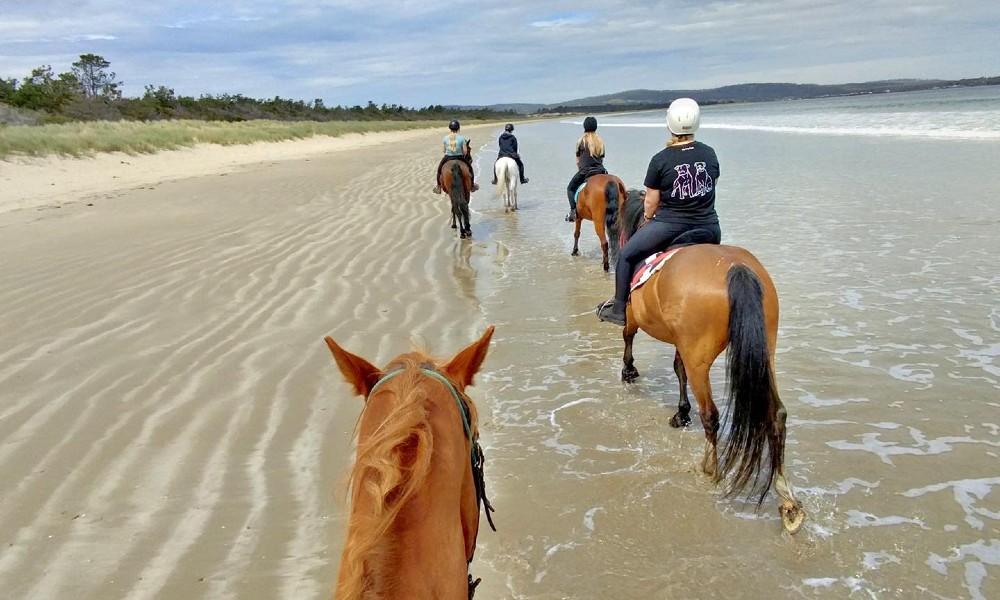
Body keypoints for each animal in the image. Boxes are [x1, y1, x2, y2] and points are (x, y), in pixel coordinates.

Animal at [612, 193, 808, 536]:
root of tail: (735, 268)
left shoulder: (636, 318)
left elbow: (628, 336)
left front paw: (629, 371)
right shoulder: (681, 342)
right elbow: (677, 369)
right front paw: (680, 413)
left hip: (699, 356)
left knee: (711, 415)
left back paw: (710, 467)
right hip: (765, 350)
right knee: (777, 414)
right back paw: (786, 499)